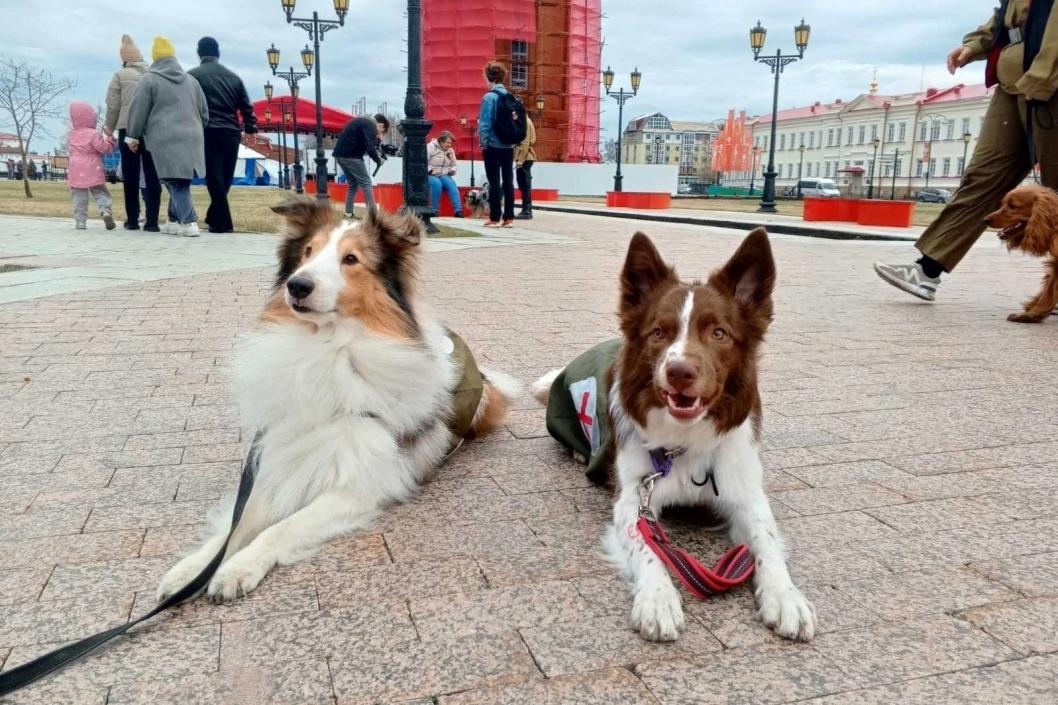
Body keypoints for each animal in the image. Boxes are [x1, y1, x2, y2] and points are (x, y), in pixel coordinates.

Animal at [981, 182, 1058, 321]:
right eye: (1003, 204)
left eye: (1012, 206)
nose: (985, 220)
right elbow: (1048, 288)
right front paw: (1034, 312)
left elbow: (1048, 293)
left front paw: (1032, 314)